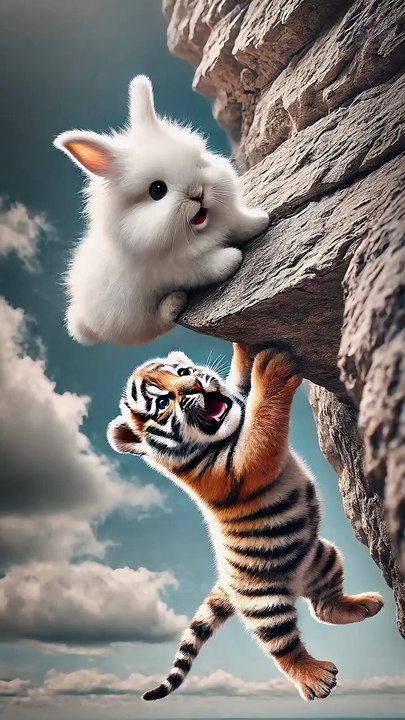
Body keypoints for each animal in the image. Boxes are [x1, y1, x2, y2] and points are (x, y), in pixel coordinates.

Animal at [53, 75, 269, 346]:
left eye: (198, 161)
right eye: (157, 190)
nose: (198, 192)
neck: (200, 231)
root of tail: (82, 320)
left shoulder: (228, 218)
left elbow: (241, 223)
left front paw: (262, 219)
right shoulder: (175, 269)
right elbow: (207, 267)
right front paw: (231, 258)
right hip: (134, 316)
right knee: (157, 324)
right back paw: (174, 303)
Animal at [107, 343, 383, 703]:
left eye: (183, 373)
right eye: (163, 403)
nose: (195, 385)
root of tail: (226, 584)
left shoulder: (237, 400)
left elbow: (239, 380)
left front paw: (246, 351)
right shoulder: (238, 470)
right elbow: (261, 431)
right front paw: (271, 369)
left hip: (324, 557)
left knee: (323, 607)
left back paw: (365, 605)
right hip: (264, 603)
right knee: (283, 645)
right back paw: (315, 678)